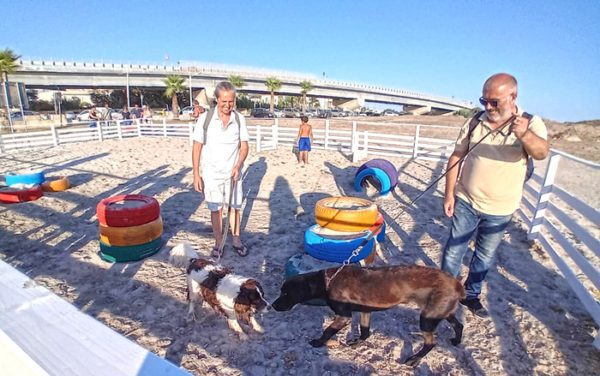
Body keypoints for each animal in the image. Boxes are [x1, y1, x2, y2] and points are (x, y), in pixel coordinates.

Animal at [272, 262, 464, 366]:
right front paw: (358, 342)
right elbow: (365, 331)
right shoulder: (366, 310)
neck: (327, 281)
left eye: (286, 293)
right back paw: (456, 341)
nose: (272, 305)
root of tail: (458, 285)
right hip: (439, 312)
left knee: (431, 343)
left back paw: (415, 359)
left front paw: (318, 342)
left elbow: (327, 331)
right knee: (459, 325)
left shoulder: (343, 316)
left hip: (426, 318)